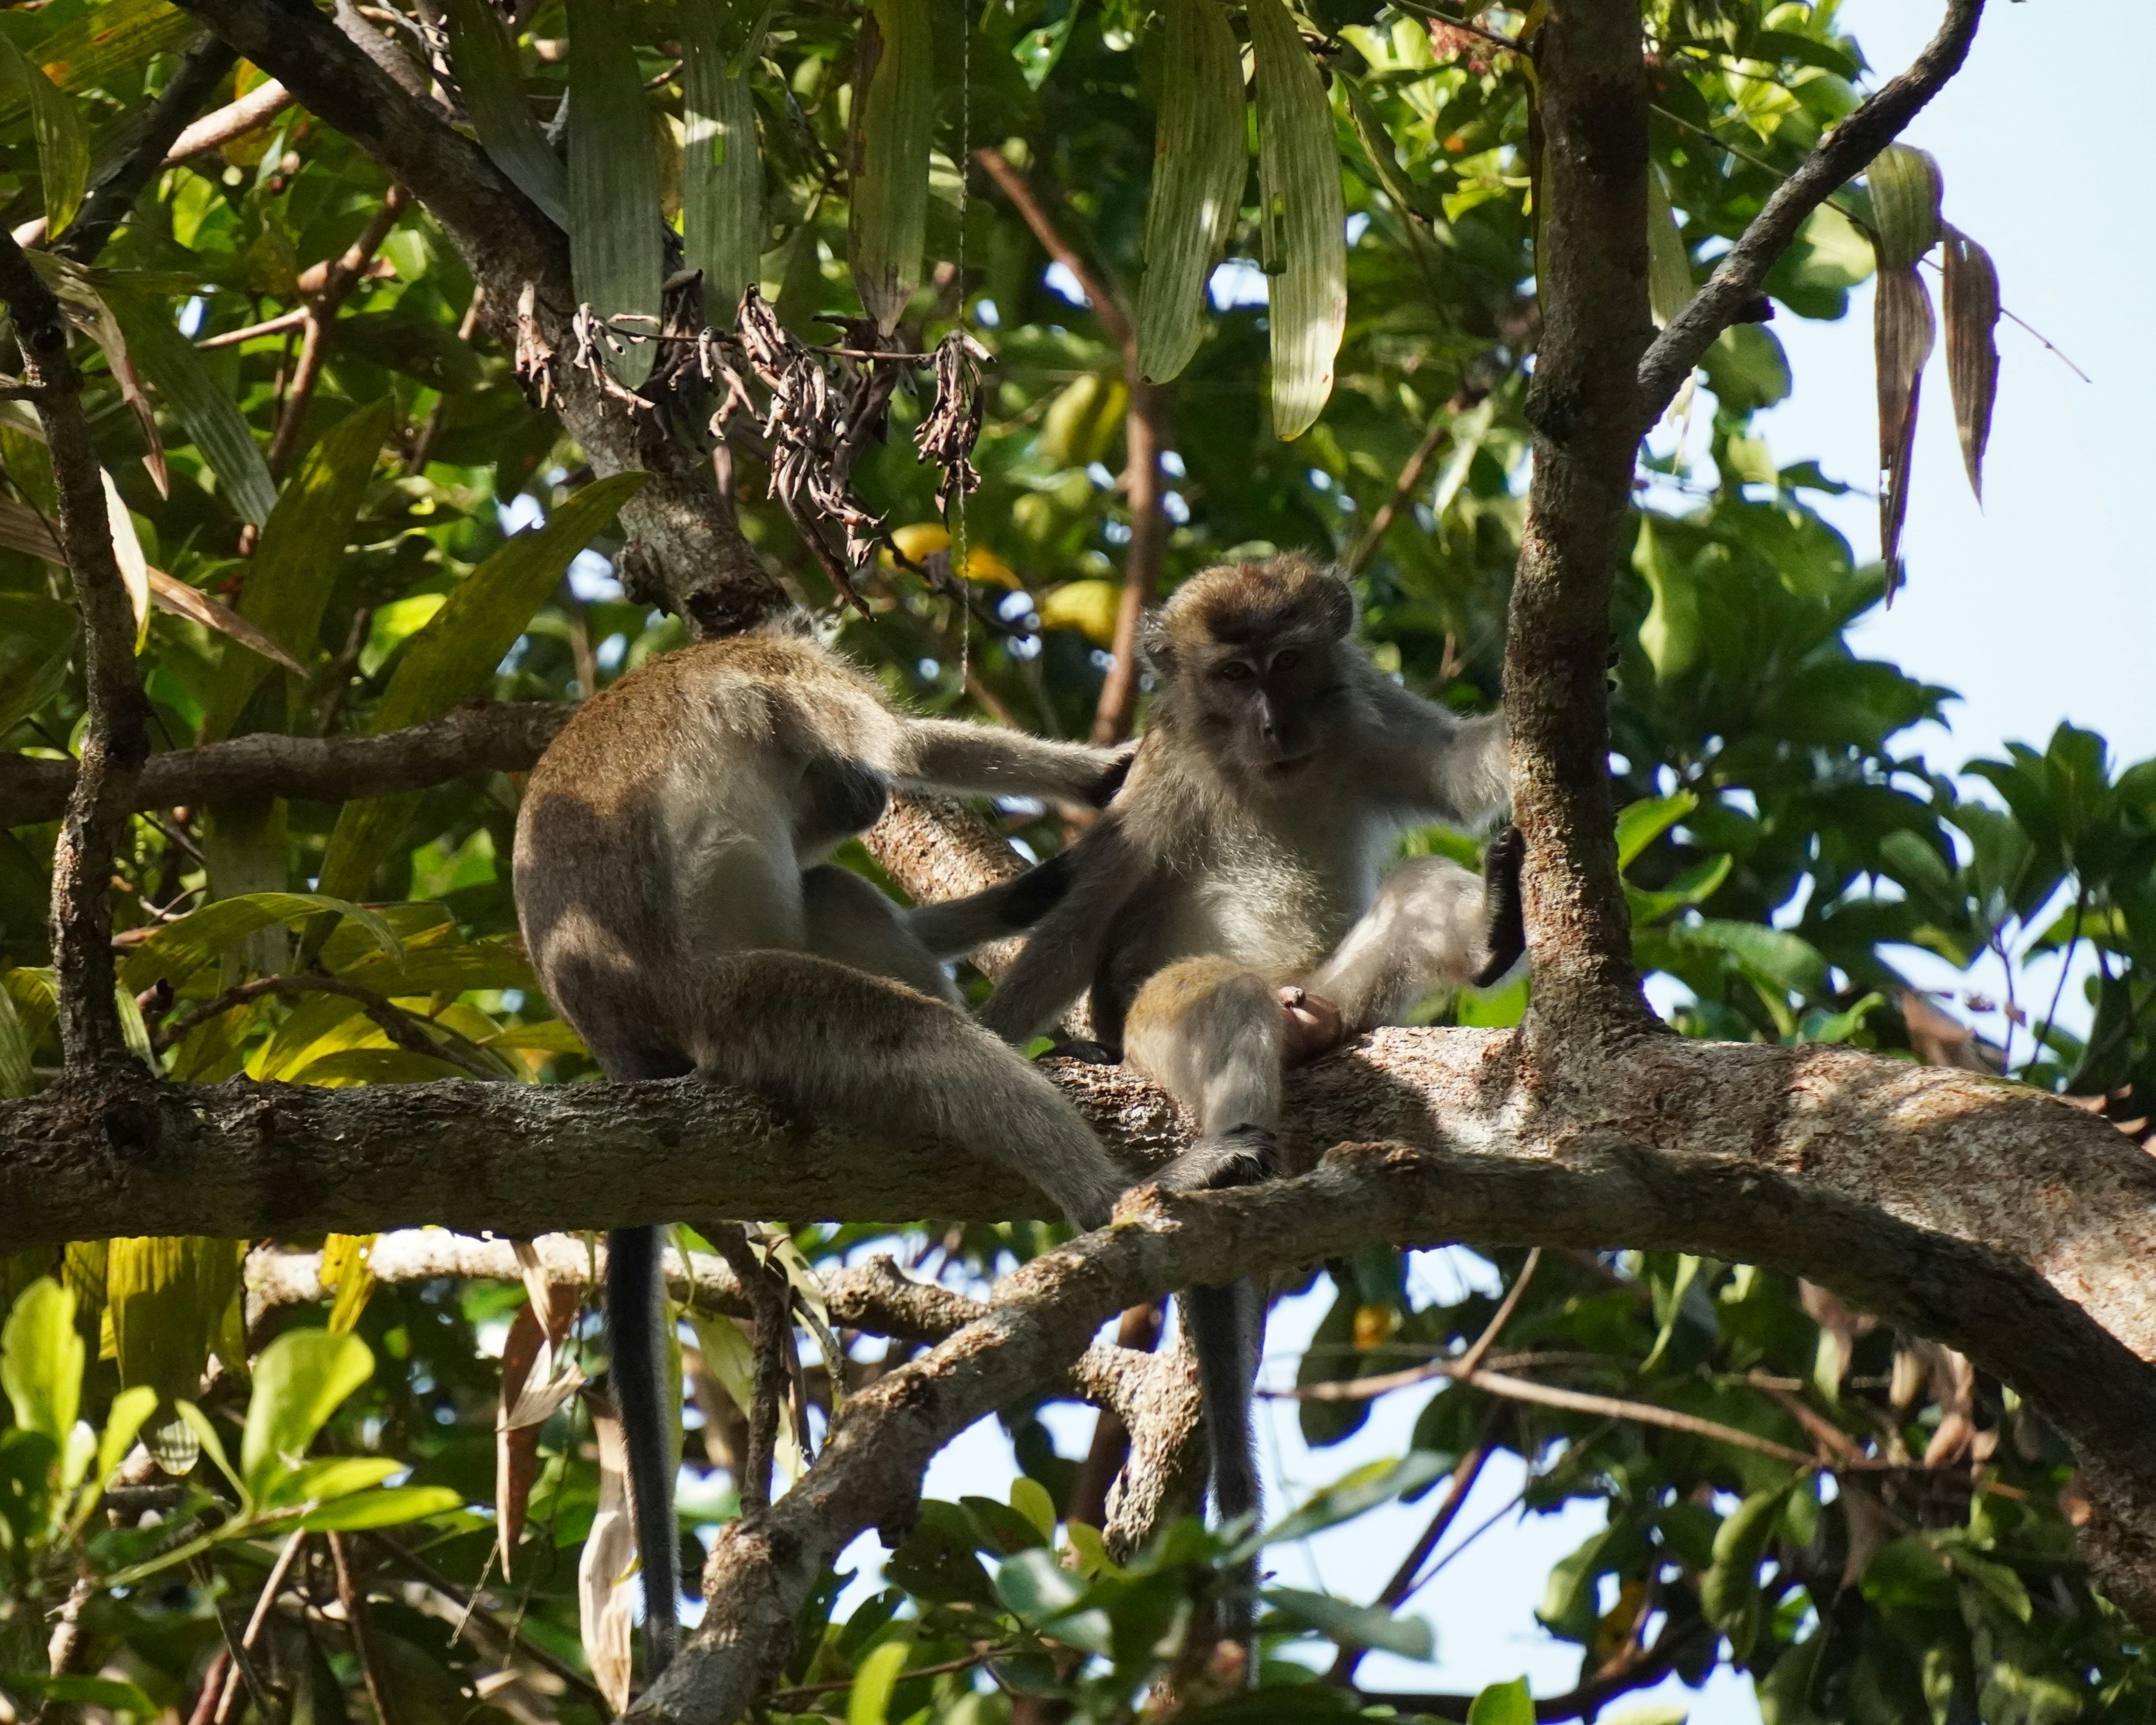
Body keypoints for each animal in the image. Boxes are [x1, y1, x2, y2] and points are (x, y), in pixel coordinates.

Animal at [511, 616, 1140, 1681]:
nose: (866, 798)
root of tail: (625, 1037)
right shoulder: (792, 681)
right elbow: (912, 744)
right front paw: (1109, 774)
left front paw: (1036, 890)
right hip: (742, 1004)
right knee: (916, 1034)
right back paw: (1095, 1191)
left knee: (836, 890)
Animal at [977, 554, 1523, 1640]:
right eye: (1233, 675)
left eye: (1289, 662)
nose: (1273, 723)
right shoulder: (1165, 774)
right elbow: (1086, 916)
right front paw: (997, 1031)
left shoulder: (1365, 712)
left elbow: (1460, 774)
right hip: (1160, 1028)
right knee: (1219, 998)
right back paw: (1226, 1142)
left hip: (1339, 994)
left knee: (1416, 892)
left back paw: (1487, 940)